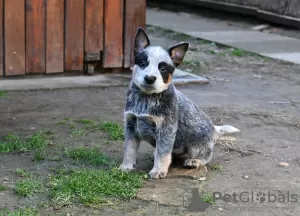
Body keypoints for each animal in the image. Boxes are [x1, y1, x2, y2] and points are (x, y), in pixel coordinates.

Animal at [119, 27, 239, 179]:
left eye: (163, 68)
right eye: (143, 63)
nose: (150, 78)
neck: (146, 99)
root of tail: (214, 129)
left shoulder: (166, 129)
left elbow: (163, 153)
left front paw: (158, 170)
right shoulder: (130, 125)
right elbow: (128, 149)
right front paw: (126, 166)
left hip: (197, 146)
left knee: (206, 156)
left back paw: (194, 161)